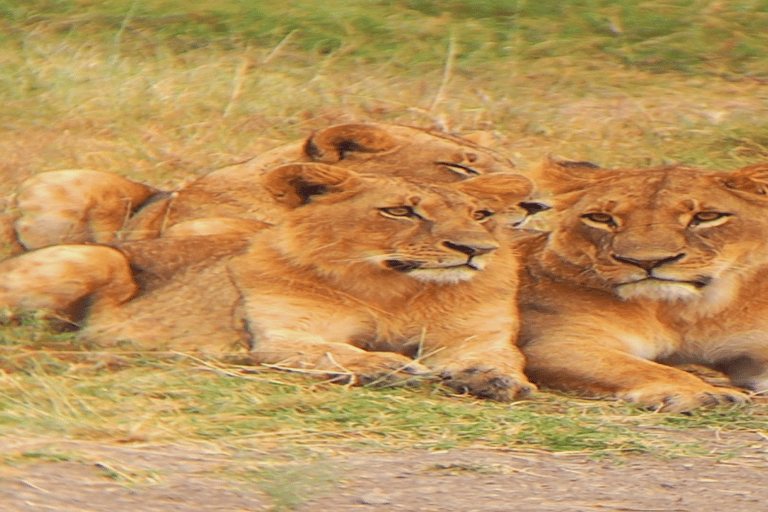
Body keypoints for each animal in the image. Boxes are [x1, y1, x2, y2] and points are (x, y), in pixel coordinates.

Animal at [0, 163, 544, 400]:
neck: (396, 290)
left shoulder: (476, 335)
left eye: (480, 215)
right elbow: (334, 351)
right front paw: (387, 366)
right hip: (90, 256)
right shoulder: (286, 334)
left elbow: (498, 358)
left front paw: (493, 379)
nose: (475, 250)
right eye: (400, 212)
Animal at [520, 156, 768, 412]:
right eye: (601, 218)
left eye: (706, 217)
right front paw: (704, 393)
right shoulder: (557, 344)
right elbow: (645, 369)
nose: (647, 261)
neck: (681, 312)